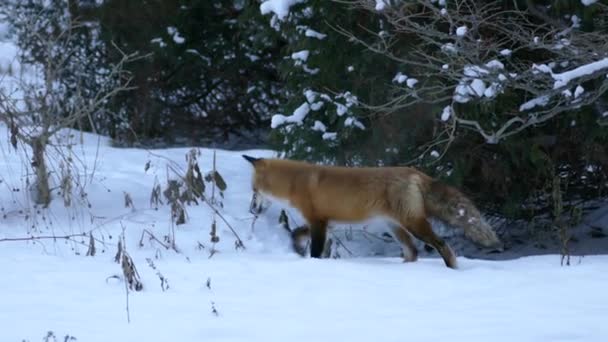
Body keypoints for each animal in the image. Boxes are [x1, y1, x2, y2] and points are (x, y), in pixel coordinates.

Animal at [242, 155, 504, 270]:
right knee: (413, 252)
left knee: (440, 244)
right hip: (396, 227)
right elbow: (295, 234)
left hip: (413, 224)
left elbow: (315, 251)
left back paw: (452, 269)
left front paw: (311, 263)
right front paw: (297, 250)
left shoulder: (318, 222)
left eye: (254, 191)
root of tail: (415, 173)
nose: (251, 209)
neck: (297, 182)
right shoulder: (327, 223)